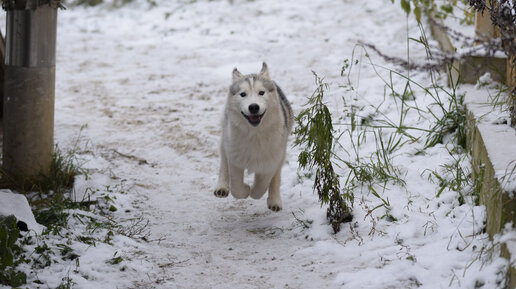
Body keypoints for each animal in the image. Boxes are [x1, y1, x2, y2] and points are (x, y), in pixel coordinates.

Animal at [214, 62, 292, 212]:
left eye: (261, 92)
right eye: (243, 94)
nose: (254, 107)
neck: (255, 134)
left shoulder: (271, 160)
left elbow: (262, 184)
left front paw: (254, 191)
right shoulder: (235, 158)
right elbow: (237, 188)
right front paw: (245, 190)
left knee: (276, 176)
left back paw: (274, 201)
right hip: (225, 137)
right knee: (223, 161)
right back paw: (222, 187)